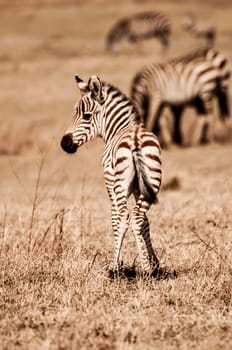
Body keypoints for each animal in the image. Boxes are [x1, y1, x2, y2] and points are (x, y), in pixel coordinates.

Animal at [60, 74, 162, 276]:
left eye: (86, 115)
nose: (64, 143)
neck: (119, 129)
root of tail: (136, 139)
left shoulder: (109, 182)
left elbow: (115, 219)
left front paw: (117, 263)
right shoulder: (139, 188)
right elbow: (146, 223)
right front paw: (154, 261)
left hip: (120, 184)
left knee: (124, 217)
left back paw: (124, 268)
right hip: (152, 180)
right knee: (138, 217)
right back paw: (148, 269)